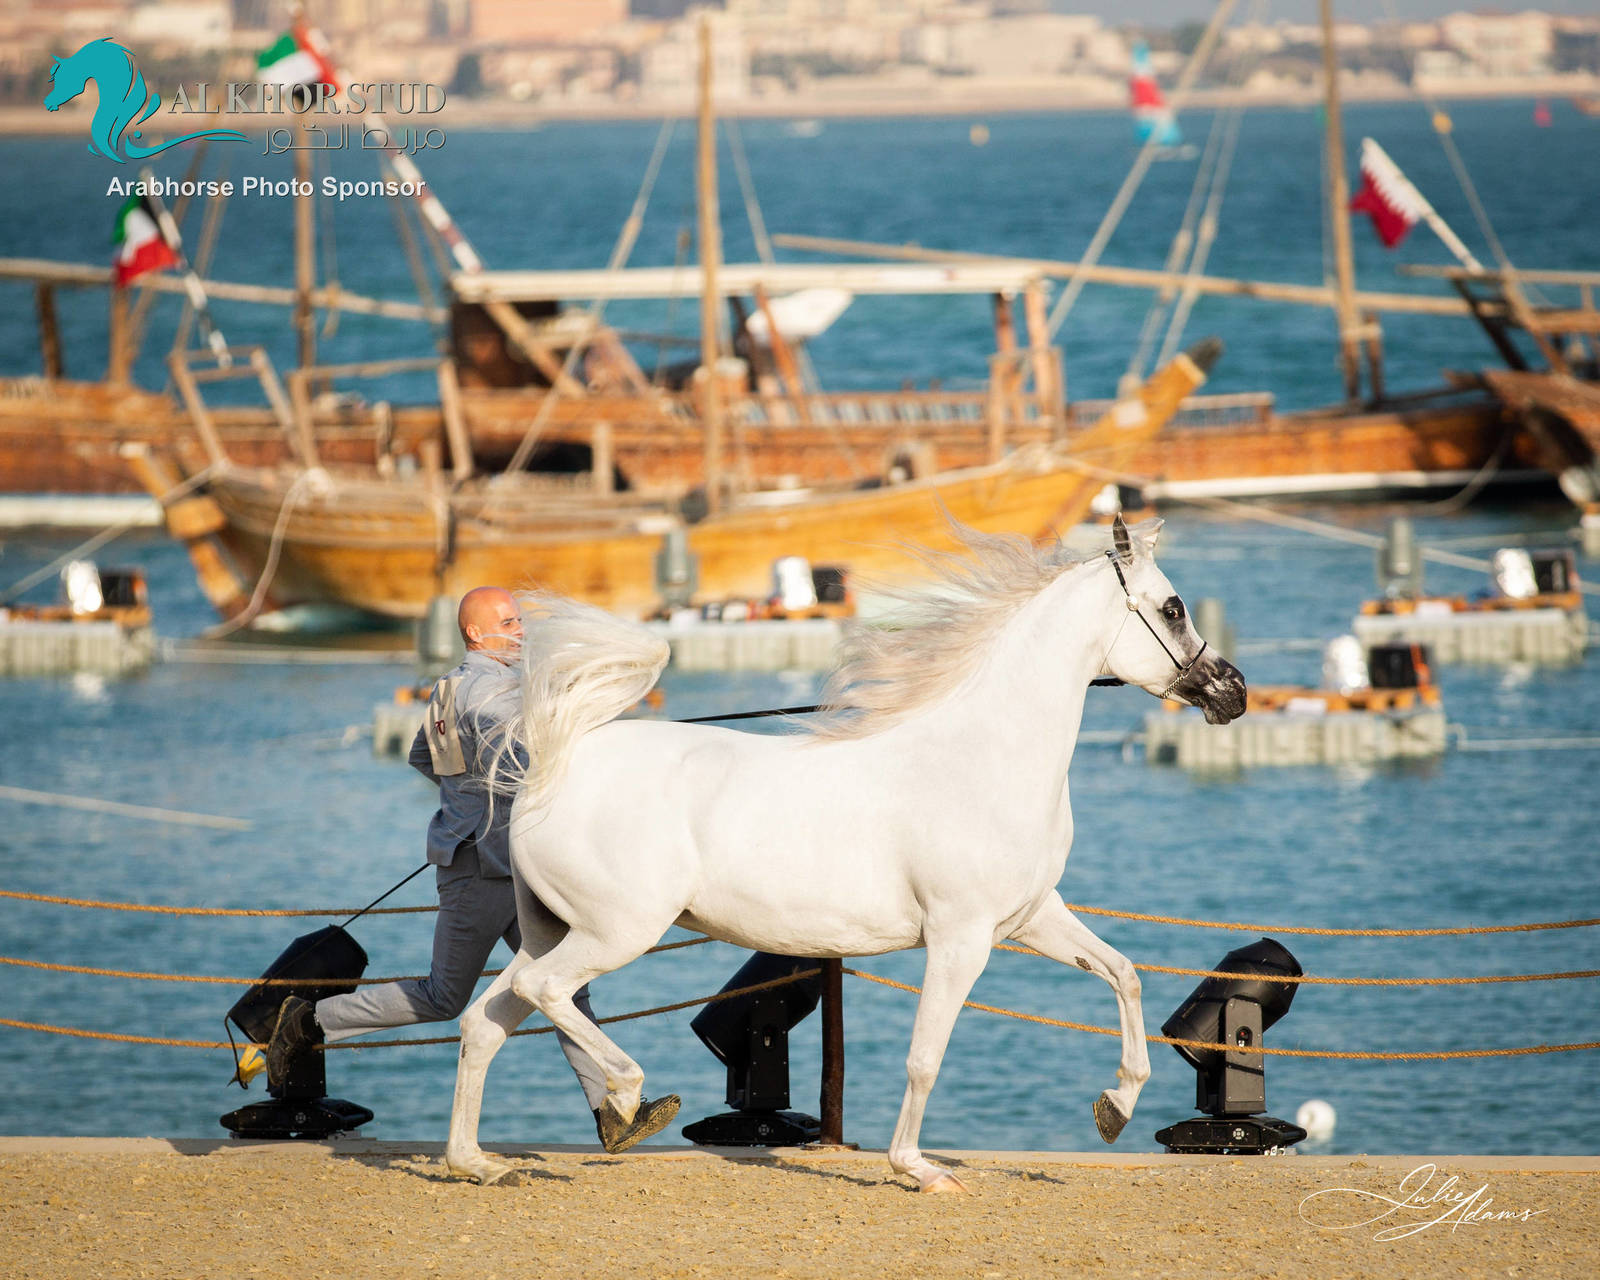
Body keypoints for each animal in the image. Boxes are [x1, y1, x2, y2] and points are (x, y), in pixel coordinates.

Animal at [444, 513, 1247, 1190]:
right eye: (1173, 607)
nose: (1232, 692)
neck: (983, 756)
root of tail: (554, 764)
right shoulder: (960, 940)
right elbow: (924, 1058)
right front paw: (918, 1169)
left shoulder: (1028, 919)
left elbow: (1125, 975)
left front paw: (1114, 1107)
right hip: (617, 931)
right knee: (544, 995)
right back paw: (630, 1100)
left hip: (552, 929)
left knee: (485, 1019)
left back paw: (475, 1162)